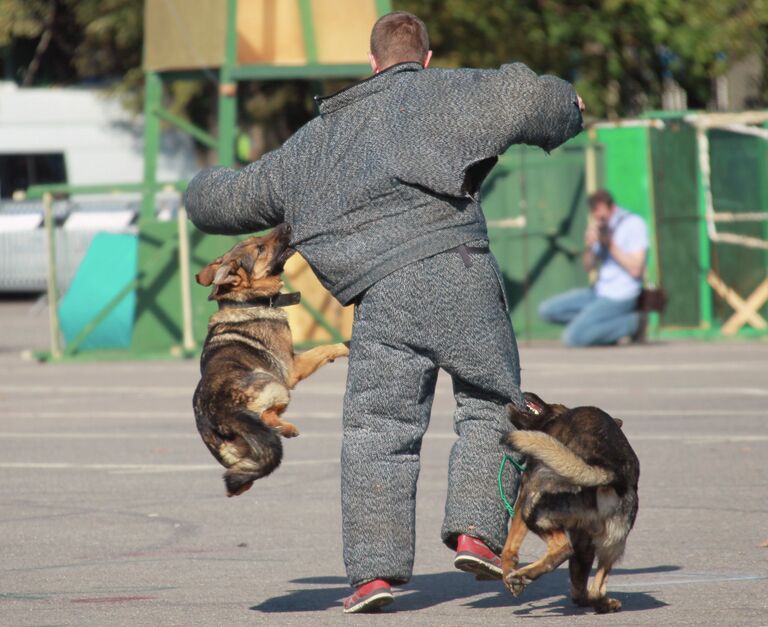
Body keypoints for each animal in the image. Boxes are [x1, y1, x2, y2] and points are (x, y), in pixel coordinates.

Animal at [194, 223, 350, 498]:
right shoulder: (292, 369)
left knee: (243, 478)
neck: (246, 301)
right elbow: (324, 348)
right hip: (274, 383)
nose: (286, 224)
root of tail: (221, 413)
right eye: (260, 248)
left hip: (238, 458)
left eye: (257, 239)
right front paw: (346, 345)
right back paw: (285, 428)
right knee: (266, 417)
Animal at [500, 392, 640, 612]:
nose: (526, 393)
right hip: (611, 545)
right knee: (595, 589)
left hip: (533, 510)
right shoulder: (584, 541)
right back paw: (604, 603)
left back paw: (525, 573)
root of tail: (610, 471)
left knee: (562, 549)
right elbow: (578, 580)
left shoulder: (524, 493)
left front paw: (508, 573)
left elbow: (509, 545)